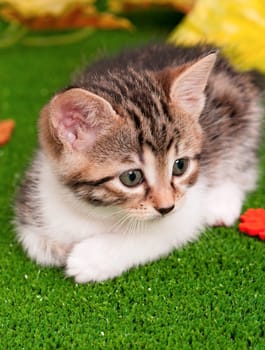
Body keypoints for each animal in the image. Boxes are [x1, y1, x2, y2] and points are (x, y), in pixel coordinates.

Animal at [14, 43, 262, 284]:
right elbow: (35, 243)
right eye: (131, 177)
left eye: (180, 166)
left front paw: (93, 258)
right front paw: (55, 248)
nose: (167, 207)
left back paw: (221, 202)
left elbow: (158, 232)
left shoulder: (186, 209)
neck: (98, 213)